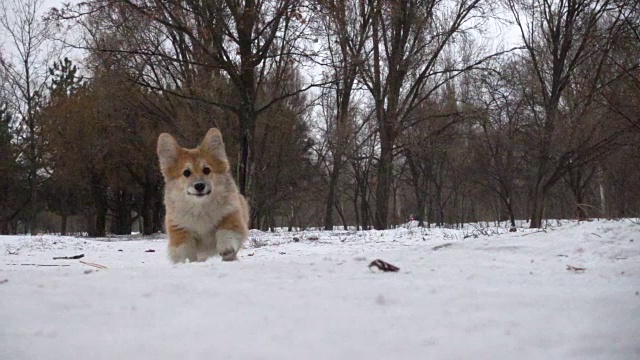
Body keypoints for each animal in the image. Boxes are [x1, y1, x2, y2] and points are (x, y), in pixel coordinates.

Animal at [158, 128, 250, 262]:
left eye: (207, 170)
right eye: (186, 173)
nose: (200, 186)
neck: (200, 207)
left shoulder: (230, 213)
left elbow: (227, 231)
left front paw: (226, 247)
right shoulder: (179, 227)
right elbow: (183, 248)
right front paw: (184, 261)